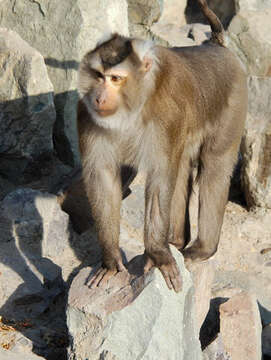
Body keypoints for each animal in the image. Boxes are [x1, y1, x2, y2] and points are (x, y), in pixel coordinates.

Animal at [76, 0, 249, 292]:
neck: (133, 107)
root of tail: (216, 45)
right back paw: (177, 241)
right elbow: (103, 177)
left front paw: (157, 255)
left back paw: (202, 248)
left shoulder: (166, 117)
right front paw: (110, 260)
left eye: (116, 79)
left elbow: (159, 177)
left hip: (234, 103)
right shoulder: (86, 116)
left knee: (213, 167)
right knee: (181, 169)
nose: (99, 97)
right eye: (99, 75)